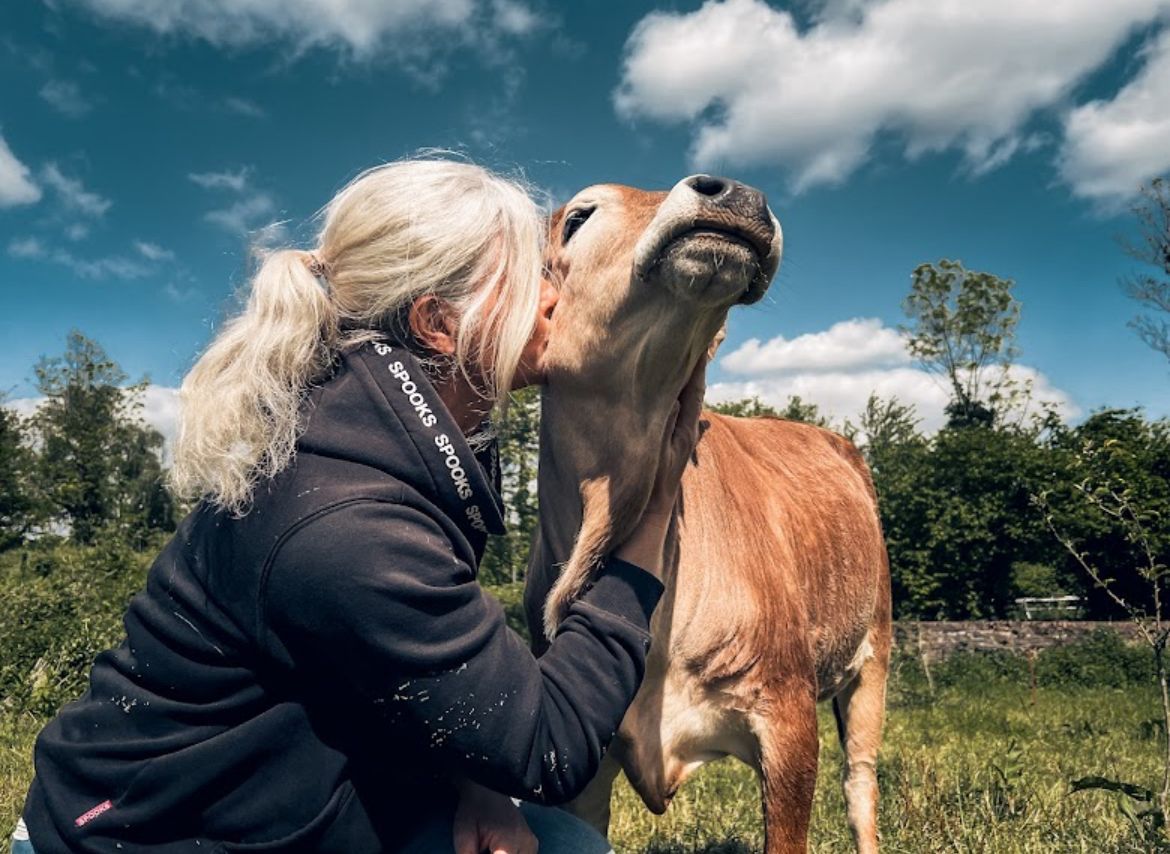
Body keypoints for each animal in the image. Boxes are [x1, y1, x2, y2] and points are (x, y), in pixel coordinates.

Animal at [523, 175, 891, 853]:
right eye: (579, 217)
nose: (736, 193)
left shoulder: (789, 717)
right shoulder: (578, 757)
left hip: (874, 648)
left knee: (860, 785)